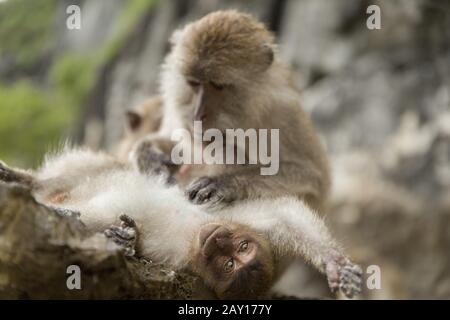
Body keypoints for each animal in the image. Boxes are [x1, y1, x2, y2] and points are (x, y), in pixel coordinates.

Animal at [0, 149, 360, 298]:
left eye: (230, 263)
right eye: (239, 249)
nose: (217, 241)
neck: (194, 236)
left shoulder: (185, 270)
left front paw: (126, 238)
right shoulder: (228, 218)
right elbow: (282, 215)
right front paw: (335, 263)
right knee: (89, 170)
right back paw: (26, 181)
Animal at [130, 10, 330, 212]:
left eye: (218, 85)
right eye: (193, 83)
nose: (197, 115)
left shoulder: (284, 114)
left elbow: (311, 177)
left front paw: (224, 182)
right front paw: (149, 153)